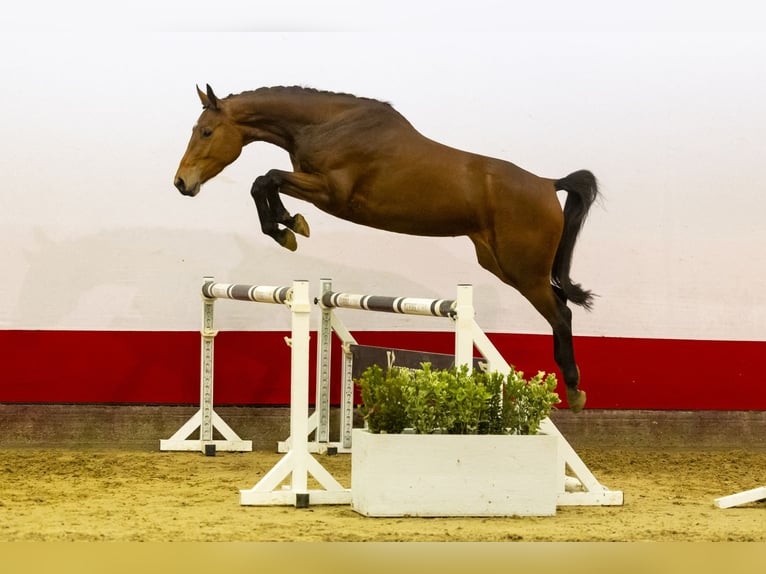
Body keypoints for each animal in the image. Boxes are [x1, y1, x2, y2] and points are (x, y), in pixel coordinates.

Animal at [174, 85, 600, 414]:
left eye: (207, 131)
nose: (182, 183)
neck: (327, 125)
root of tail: (547, 184)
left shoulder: (331, 192)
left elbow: (267, 179)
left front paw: (289, 227)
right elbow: (264, 182)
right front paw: (286, 227)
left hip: (523, 271)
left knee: (560, 313)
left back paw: (575, 390)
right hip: (500, 262)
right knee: (560, 304)